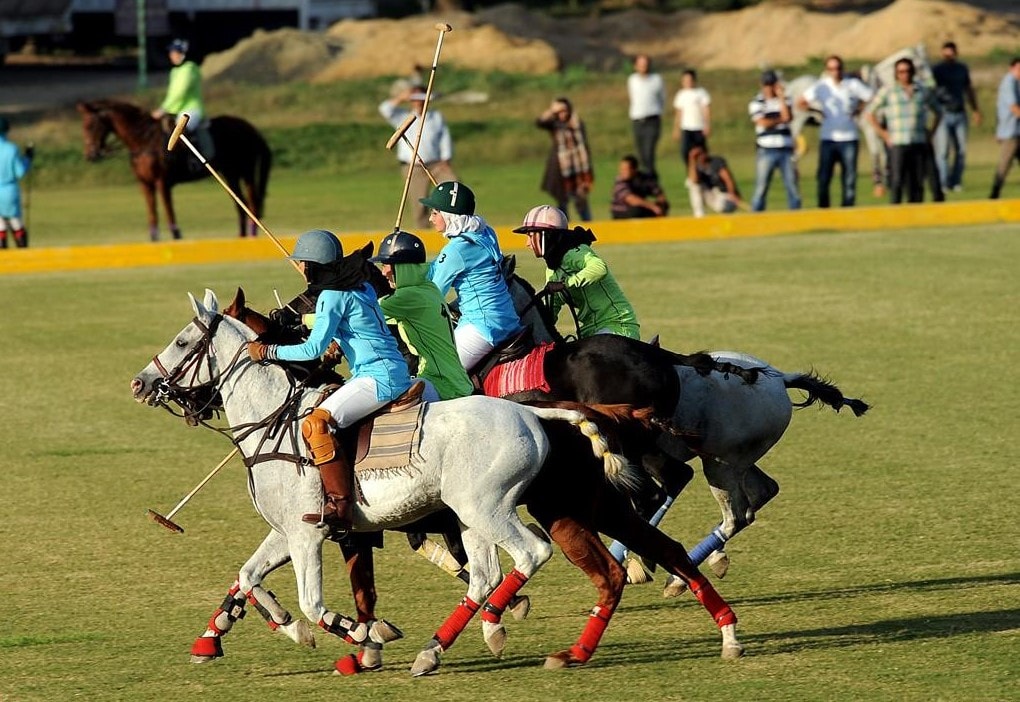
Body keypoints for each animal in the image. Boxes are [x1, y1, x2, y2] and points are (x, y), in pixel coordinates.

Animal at [75, 98, 271, 240]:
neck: (143, 141)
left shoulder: (162, 181)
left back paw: (252, 234)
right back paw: (242, 235)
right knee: (240, 203)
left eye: (90, 125)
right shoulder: (145, 183)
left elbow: (168, 207)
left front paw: (176, 233)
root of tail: (253, 129)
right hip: (230, 173)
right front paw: (154, 238)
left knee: (251, 201)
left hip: (244, 171)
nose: (90, 155)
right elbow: (152, 211)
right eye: (83, 126)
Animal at [127, 285, 636, 673]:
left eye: (181, 341)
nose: (139, 383)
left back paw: (495, 626)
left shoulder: (308, 534)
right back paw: (434, 651)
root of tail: (530, 412)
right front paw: (282, 629)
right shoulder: (288, 530)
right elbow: (249, 576)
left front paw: (363, 638)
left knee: (533, 552)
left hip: (489, 508)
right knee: (485, 574)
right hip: (471, 516)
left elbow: (314, 602)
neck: (273, 422)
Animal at [503, 271, 869, 595]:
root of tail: (781, 378)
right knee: (761, 493)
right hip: (732, 458)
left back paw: (673, 574)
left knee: (730, 510)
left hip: (719, 463)